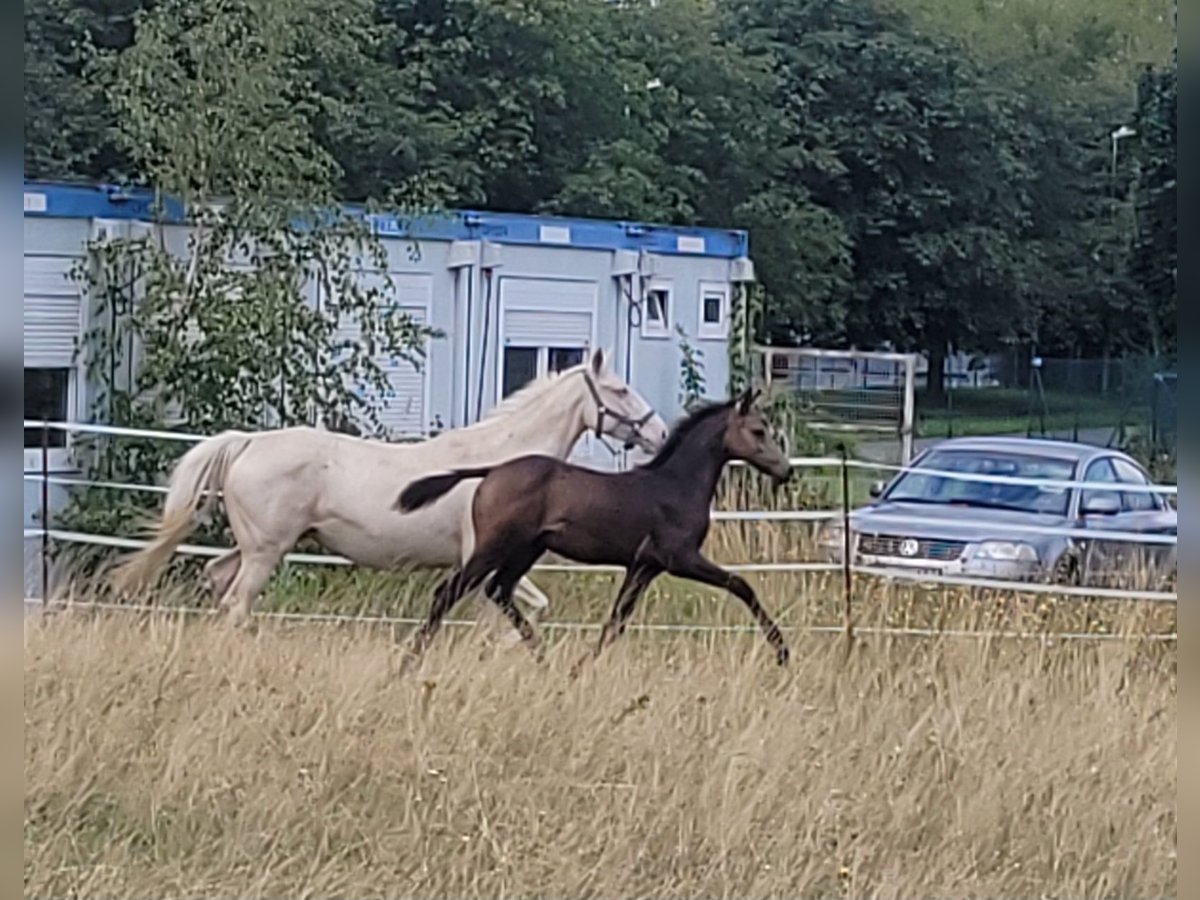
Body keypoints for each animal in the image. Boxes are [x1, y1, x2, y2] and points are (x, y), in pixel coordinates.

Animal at [109, 349, 669, 637]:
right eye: (619, 389)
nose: (659, 432)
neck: (503, 462)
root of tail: (247, 443)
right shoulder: (481, 559)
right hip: (266, 553)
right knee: (236, 603)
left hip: (256, 547)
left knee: (216, 580)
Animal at [394, 388, 793, 671]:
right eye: (758, 430)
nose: (787, 470)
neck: (675, 486)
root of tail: (491, 472)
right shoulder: (680, 558)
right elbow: (741, 585)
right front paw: (783, 652)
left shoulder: (644, 566)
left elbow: (616, 622)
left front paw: (578, 669)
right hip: (493, 547)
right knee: (448, 593)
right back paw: (407, 664)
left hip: (526, 549)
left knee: (499, 591)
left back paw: (544, 661)